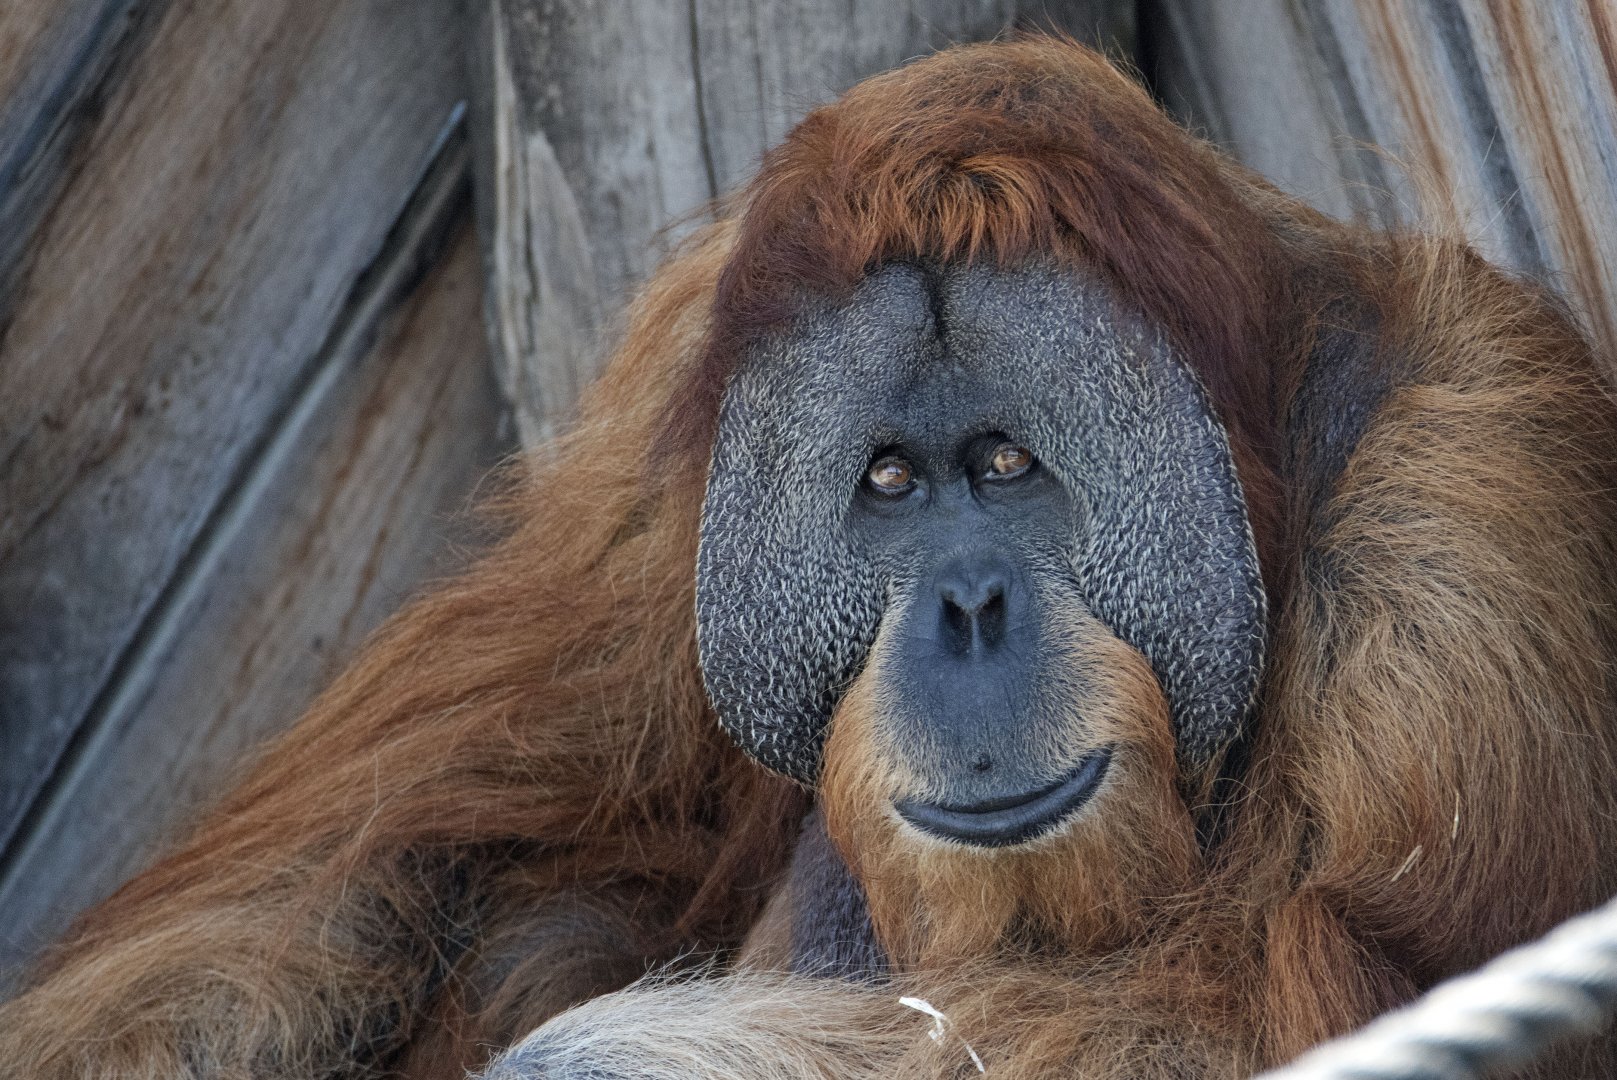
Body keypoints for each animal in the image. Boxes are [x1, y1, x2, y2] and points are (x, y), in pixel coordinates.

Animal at [5, 33, 1617, 1080]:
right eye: (892, 482)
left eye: (1008, 466)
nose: (969, 606)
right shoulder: (656, 475)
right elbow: (385, 865)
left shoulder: (1464, 520)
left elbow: (1303, 989)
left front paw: (597, 1065)